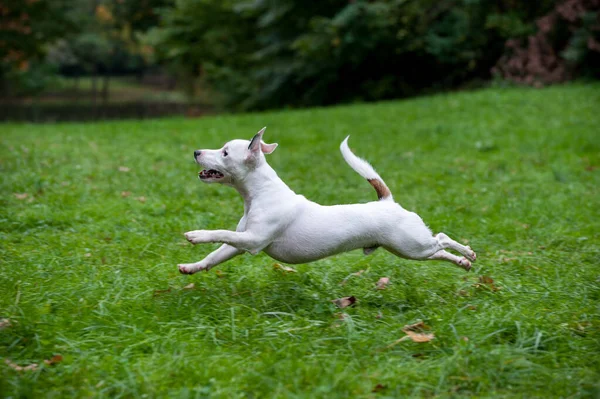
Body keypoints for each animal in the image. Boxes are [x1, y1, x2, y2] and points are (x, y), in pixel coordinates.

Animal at [176, 128, 476, 276]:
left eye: (225, 153)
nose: (196, 152)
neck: (259, 193)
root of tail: (388, 201)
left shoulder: (253, 241)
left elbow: (220, 233)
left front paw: (197, 235)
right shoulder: (239, 245)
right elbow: (214, 255)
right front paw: (192, 267)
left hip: (411, 244)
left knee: (442, 238)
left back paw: (468, 252)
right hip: (409, 249)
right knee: (437, 251)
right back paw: (462, 263)